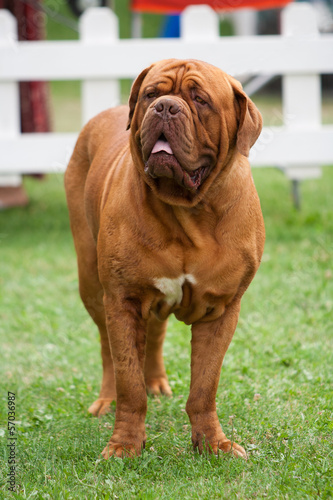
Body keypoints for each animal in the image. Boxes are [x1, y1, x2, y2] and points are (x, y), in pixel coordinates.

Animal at [64, 56, 264, 458]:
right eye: (151, 94)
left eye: (200, 100)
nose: (166, 107)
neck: (188, 212)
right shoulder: (123, 300)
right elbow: (129, 382)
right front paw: (124, 445)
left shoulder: (222, 311)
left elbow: (204, 386)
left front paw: (214, 444)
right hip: (91, 282)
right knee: (108, 349)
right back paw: (106, 399)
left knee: (155, 333)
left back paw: (156, 382)